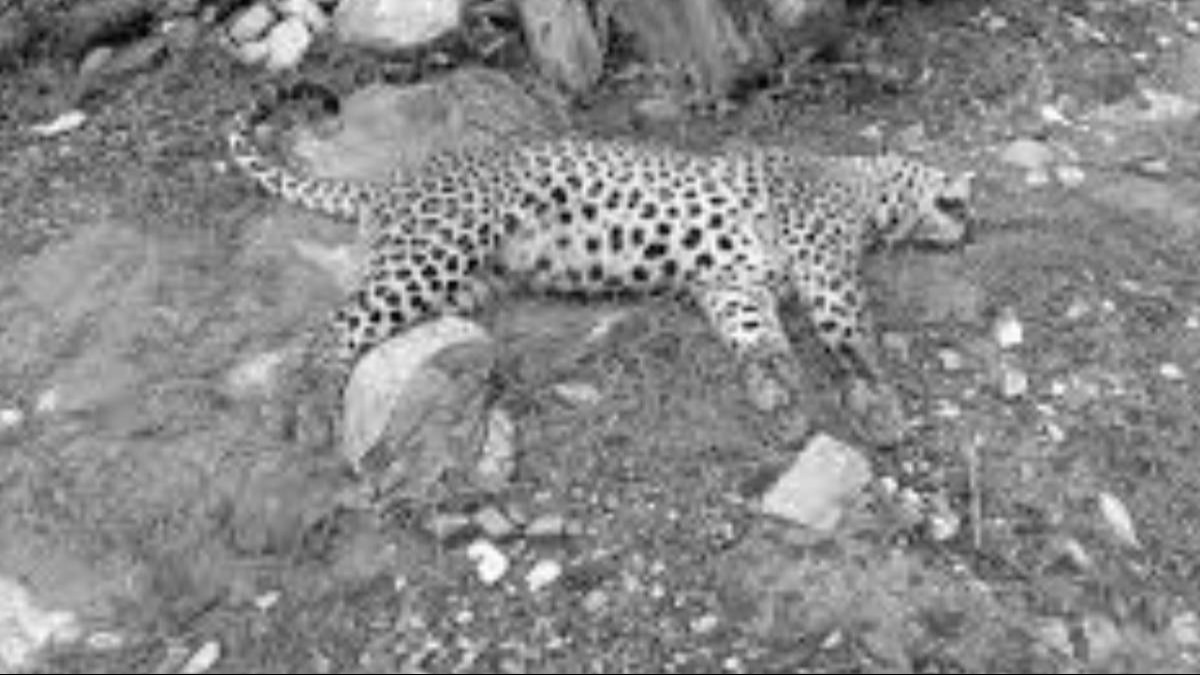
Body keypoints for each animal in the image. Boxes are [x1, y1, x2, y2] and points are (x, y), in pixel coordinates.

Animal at [227, 103, 974, 423]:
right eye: (961, 203)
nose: (973, 230)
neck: (866, 186)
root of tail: (391, 182)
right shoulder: (824, 265)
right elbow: (854, 326)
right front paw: (883, 395)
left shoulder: (731, 283)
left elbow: (756, 332)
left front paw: (776, 381)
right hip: (433, 249)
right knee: (331, 330)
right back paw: (316, 409)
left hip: (456, 276)